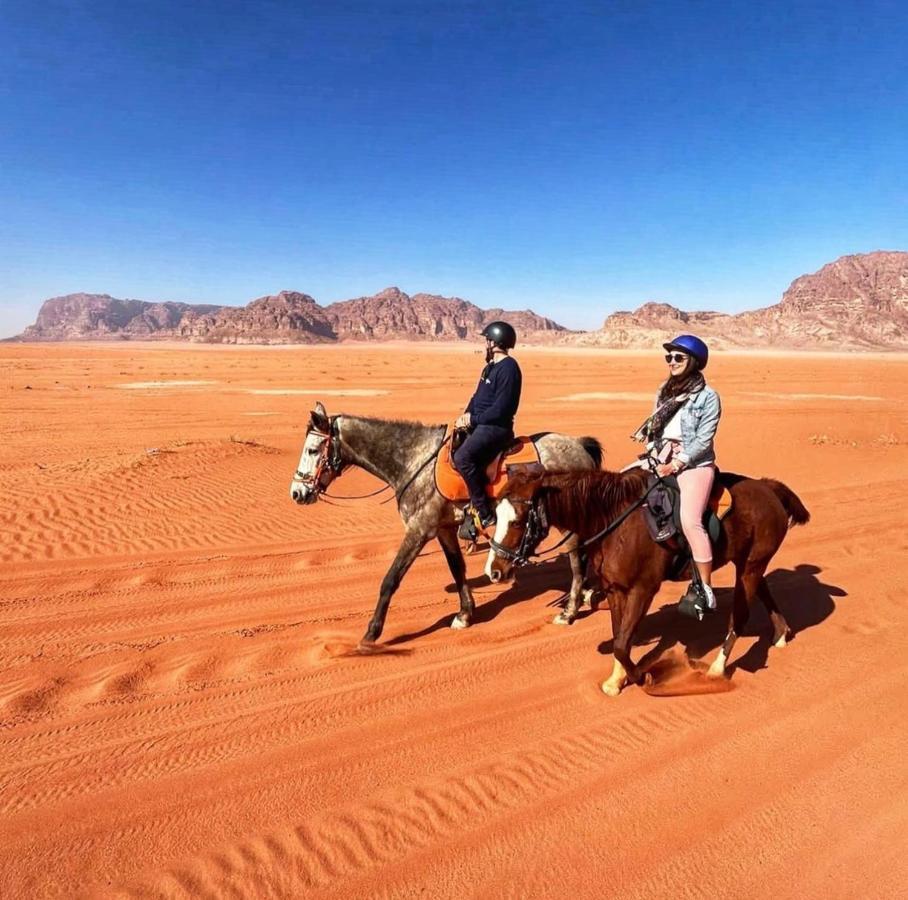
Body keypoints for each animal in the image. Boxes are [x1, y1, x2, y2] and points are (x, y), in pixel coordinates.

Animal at [290, 402, 604, 648]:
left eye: (313, 449)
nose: (297, 493)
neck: (414, 461)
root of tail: (580, 445)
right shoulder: (444, 529)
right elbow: (457, 568)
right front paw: (465, 614)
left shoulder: (418, 530)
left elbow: (390, 579)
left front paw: (371, 633)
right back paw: (587, 594)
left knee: (576, 558)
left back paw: (570, 610)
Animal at [486, 468, 812, 692]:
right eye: (495, 516)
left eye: (517, 520)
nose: (494, 571)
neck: (615, 521)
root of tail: (769, 487)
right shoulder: (615, 590)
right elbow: (620, 637)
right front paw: (616, 680)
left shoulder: (643, 590)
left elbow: (622, 643)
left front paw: (642, 677)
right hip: (749, 564)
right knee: (763, 590)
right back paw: (781, 633)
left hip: (749, 566)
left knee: (740, 616)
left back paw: (718, 669)